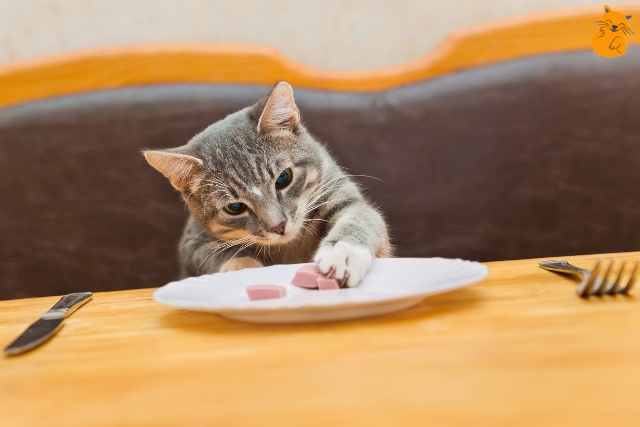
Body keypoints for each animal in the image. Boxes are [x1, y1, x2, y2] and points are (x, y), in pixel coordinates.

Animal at [146, 81, 392, 288]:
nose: (278, 227)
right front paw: (247, 269)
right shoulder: (193, 244)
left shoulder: (340, 194)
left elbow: (360, 217)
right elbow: (217, 255)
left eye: (283, 178)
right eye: (234, 207)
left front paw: (344, 253)